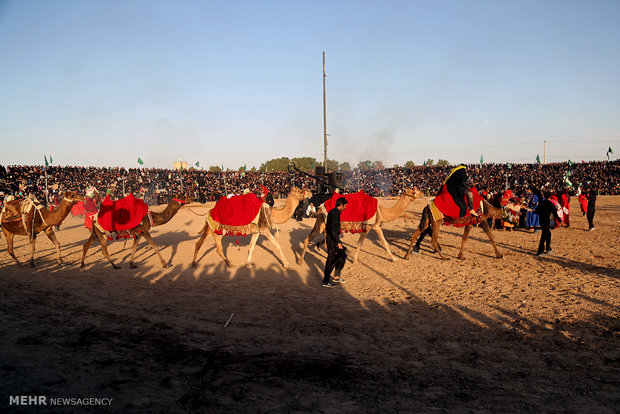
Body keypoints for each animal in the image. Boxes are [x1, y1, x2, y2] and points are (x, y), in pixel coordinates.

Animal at [296, 188, 424, 266]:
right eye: (413, 190)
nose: (422, 193)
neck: (382, 211)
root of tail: (320, 207)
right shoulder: (374, 226)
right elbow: (382, 242)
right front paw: (394, 258)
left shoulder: (368, 227)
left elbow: (362, 243)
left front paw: (355, 260)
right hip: (322, 221)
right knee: (311, 238)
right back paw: (301, 261)